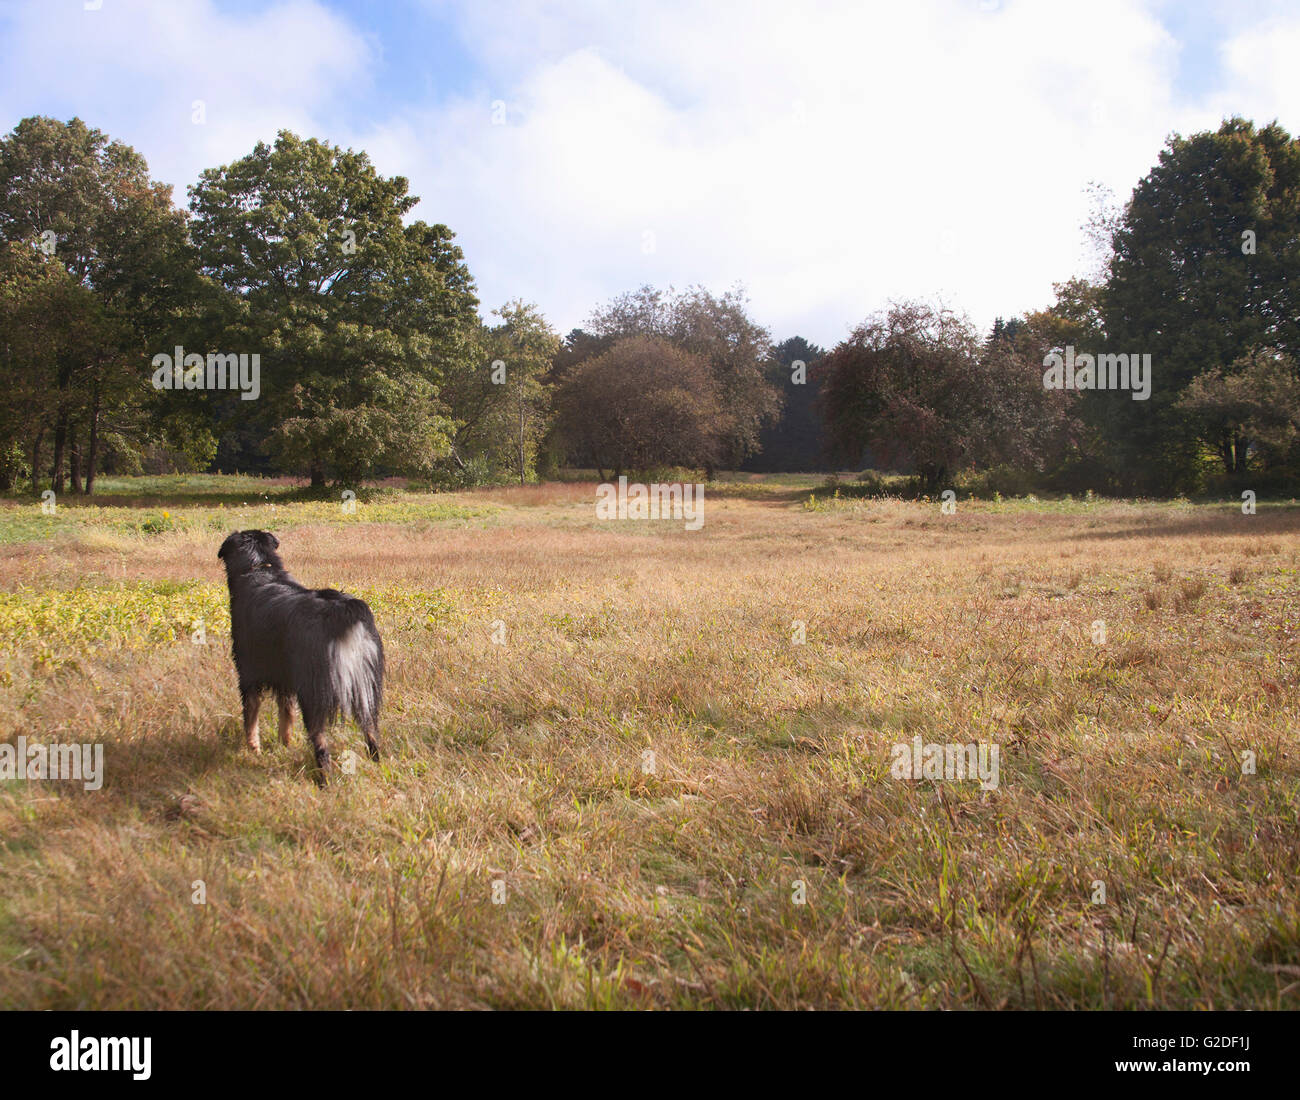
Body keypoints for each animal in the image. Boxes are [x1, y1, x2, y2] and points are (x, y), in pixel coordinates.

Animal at [215, 533, 379, 785]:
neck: (260, 568)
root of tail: (342, 612)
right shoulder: (285, 681)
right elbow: (286, 716)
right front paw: (285, 745)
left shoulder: (248, 675)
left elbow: (250, 718)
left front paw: (253, 749)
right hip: (365, 688)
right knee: (371, 733)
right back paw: (378, 764)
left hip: (314, 694)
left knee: (321, 744)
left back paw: (324, 781)